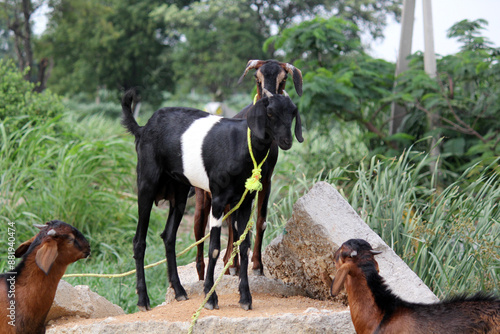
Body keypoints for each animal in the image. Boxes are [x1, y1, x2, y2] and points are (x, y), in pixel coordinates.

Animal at [122, 88, 300, 310]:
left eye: (292, 113)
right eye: (270, 113)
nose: (286, 141)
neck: (241, 145)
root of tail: (143, 128)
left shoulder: (245, 202)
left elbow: (243, 246)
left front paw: (245, 297)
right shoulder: (218, 200)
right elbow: (214, 248)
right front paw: (210, 296)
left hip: (180, 192)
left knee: (169, 236)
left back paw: (179, 291)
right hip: (146, 185)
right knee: (139, 240)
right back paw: (143, 299)